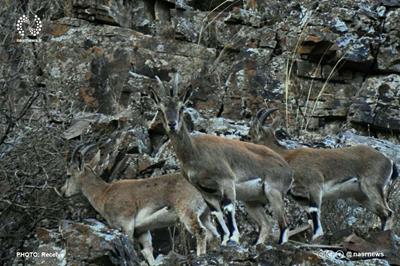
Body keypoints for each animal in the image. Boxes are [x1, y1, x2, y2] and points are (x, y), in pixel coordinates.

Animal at [61, 144, 219, 264]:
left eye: (68, 175)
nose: (63, 192)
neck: (104, 194)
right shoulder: (142, 231)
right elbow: (148, 252)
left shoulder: (126, 225)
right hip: (205, 215)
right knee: (214, 234)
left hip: (188, 212)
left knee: (201, 231)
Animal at [142, 73, 292, 245]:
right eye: (160, 109)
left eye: (181, 107)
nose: (172, 124)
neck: (195, 153)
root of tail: (287, 168)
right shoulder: (205, 190)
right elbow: (216, 213)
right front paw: (225, 239)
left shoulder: (226, 181)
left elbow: (228, 208)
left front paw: (233, 238)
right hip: (252, 201)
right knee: (267, 224)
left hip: (274, 192)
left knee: (284, 224)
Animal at [248, 107, 398, 240]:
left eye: (251, 135)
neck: (287, 158)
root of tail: (389, 161)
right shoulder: (300, 197)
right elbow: (309, 217)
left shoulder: (315, 186)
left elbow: (315, 215)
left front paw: (316, 237)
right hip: (361, 196)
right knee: (383, 215)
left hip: (372, 186)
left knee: (389, 213)